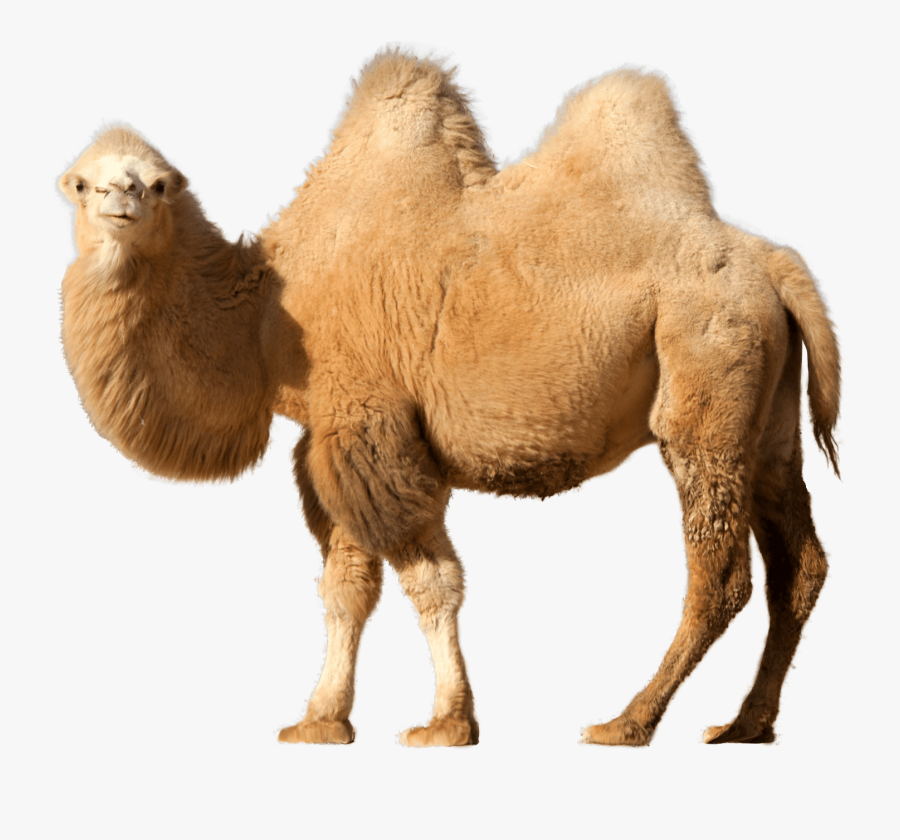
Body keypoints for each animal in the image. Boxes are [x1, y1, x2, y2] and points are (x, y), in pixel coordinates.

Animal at [58, 51, 839, 747]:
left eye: (158, 185)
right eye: (80, 182)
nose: (120, 199)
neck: (265, 314)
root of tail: (776, 266)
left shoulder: (369, 425)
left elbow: (429, 581)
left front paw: (446, 723)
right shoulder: (333, 438)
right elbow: (346, 587)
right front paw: (321, 721)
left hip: (706, 374)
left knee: (721, 573)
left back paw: (628, 722)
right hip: (768, 415)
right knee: (799, 563)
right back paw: (745, 724)